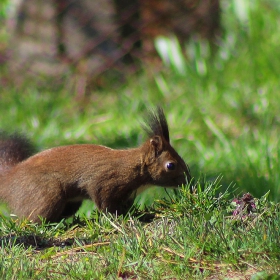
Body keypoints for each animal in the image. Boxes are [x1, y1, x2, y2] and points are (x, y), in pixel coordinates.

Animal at [0, 107, 191, 223]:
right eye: (171, 165)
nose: (189, 181)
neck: (135, 167)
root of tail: (9, 177)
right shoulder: (105, 181)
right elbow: (103, 200)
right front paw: (116, 217)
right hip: (45, 194)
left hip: (69, 203)